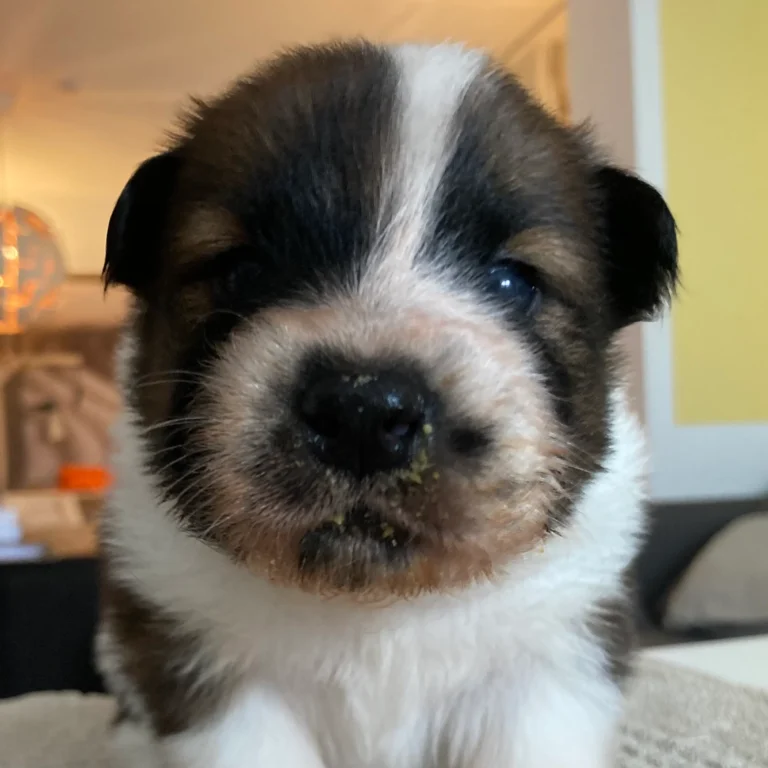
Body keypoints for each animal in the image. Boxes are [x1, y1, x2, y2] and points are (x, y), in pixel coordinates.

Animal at [97, 40, 677, 768]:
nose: (363, 414)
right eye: (242, 270)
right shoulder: (214, 674)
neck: (378, 608)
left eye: (512, 281)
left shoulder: (545, 671)